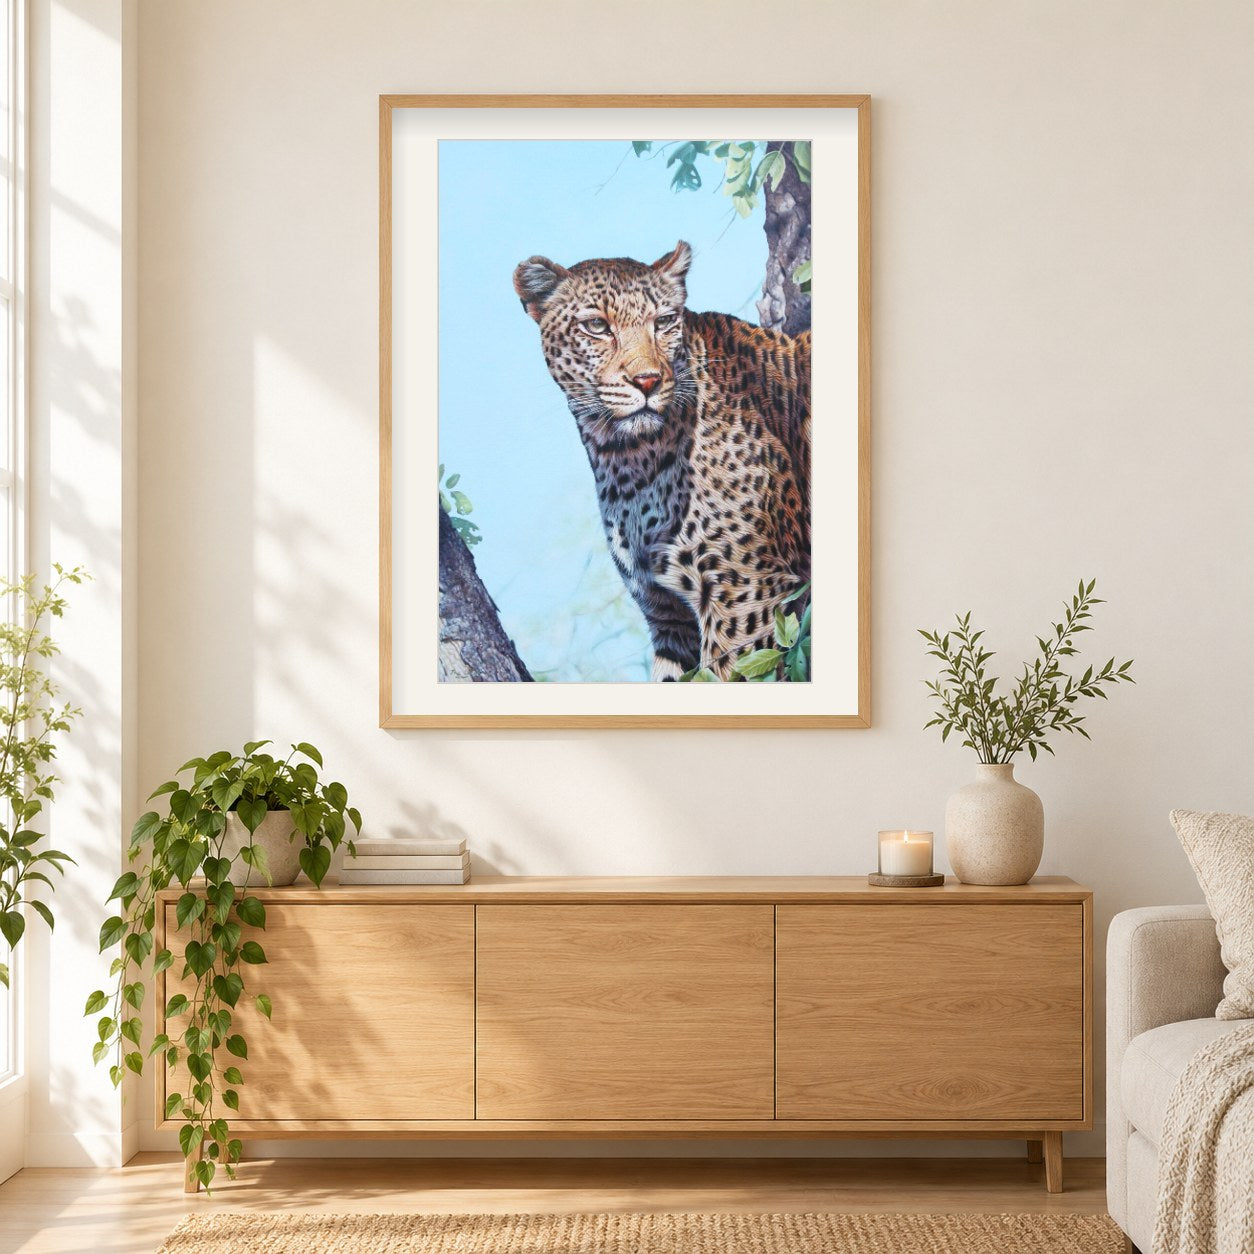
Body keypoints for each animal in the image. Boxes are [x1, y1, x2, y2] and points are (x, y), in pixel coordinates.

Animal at [513, 239, 810, 681]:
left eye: (665, 321)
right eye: (597, 326)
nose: (648, 380)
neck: (627, 459)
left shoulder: (748, 594)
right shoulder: (668, 614)